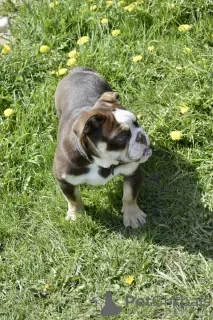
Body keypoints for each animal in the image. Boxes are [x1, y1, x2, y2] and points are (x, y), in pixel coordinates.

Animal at [54, 67, 152, 228]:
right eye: (122, 136)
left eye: (136, 122)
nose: (141, 135)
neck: (100, 162)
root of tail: (78, 69)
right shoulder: (64, 180)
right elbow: (73, 199)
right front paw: (77, 215)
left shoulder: (133, 172)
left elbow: (129, 195)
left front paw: (133, 215)